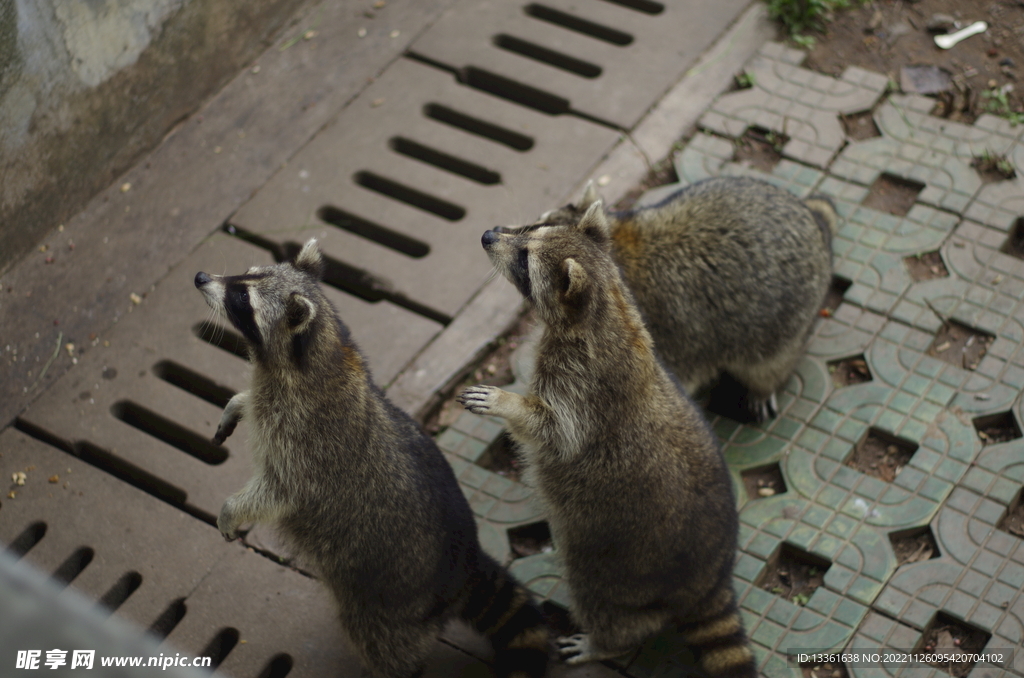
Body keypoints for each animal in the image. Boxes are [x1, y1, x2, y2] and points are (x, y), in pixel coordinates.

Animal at [195, 241, 552, 678]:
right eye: (245, 275)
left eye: (242, 299)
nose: (201, 278)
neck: (318, 351)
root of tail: (464, 565)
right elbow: (253, 402)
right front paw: (238, 403)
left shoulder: (306, 440)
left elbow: (281, 490)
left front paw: (233, 508)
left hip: (391, 599)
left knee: (382, 643)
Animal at [460, 205, 757, 678]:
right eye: (530, 228)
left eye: (525, 260)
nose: (489, 235)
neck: (604, 304)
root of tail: (708, 581)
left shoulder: (581, 388)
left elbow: (553, 431)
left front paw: (508, 403)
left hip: (616, 566)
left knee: (605, 604)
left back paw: (606, 643)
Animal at [507, 173, 835, 421]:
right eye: (538, 222)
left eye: (534, 244)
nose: (496, 230)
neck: (619, 250)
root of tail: (811, 218)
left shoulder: (663, 335)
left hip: (786, 322)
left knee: (769, 363)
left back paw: (764, 386)